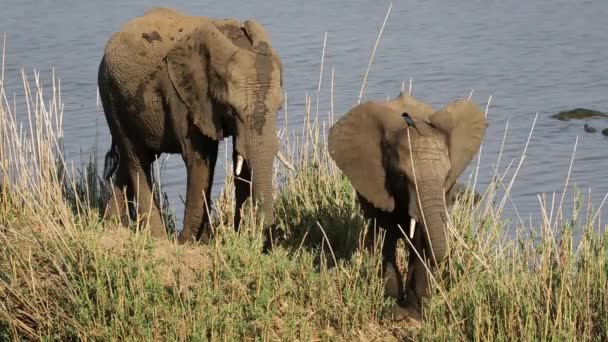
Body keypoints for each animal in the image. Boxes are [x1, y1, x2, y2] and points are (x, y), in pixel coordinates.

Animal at [98, 7, 286, 243]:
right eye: (232, 109)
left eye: (279, 108)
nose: (269, 231)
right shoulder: (182, 95)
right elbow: (199, 159)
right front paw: (187, 241)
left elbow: (240, 160)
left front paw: (232, 235)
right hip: (110, 96)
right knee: (135, 158)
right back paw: (158, 237)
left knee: (131, 159)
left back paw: (111, 227)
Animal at [326, 90, 486, 320]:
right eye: (402, 176)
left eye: (448, 176)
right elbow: (385, 236)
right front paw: (394, 309)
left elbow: (420, 239)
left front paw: (416, 313)